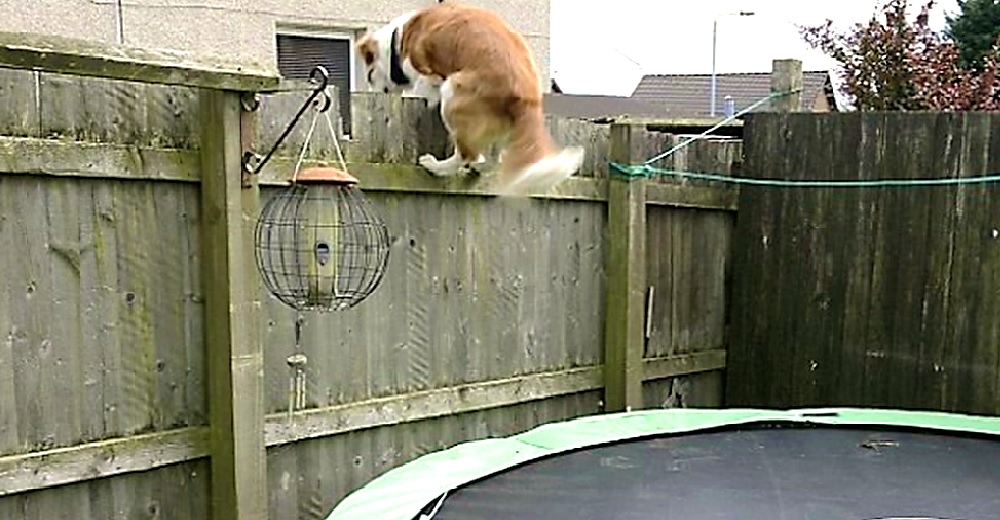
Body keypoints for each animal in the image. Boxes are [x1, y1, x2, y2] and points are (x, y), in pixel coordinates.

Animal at [356, 2, 584, 195]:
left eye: (369, 76)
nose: (374, 91)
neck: (400, 38)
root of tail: (528, 98)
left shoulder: (427, 73)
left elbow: (420, 88)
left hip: (453, 93)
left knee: (468, 154)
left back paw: (436, 166)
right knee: (486, 160)